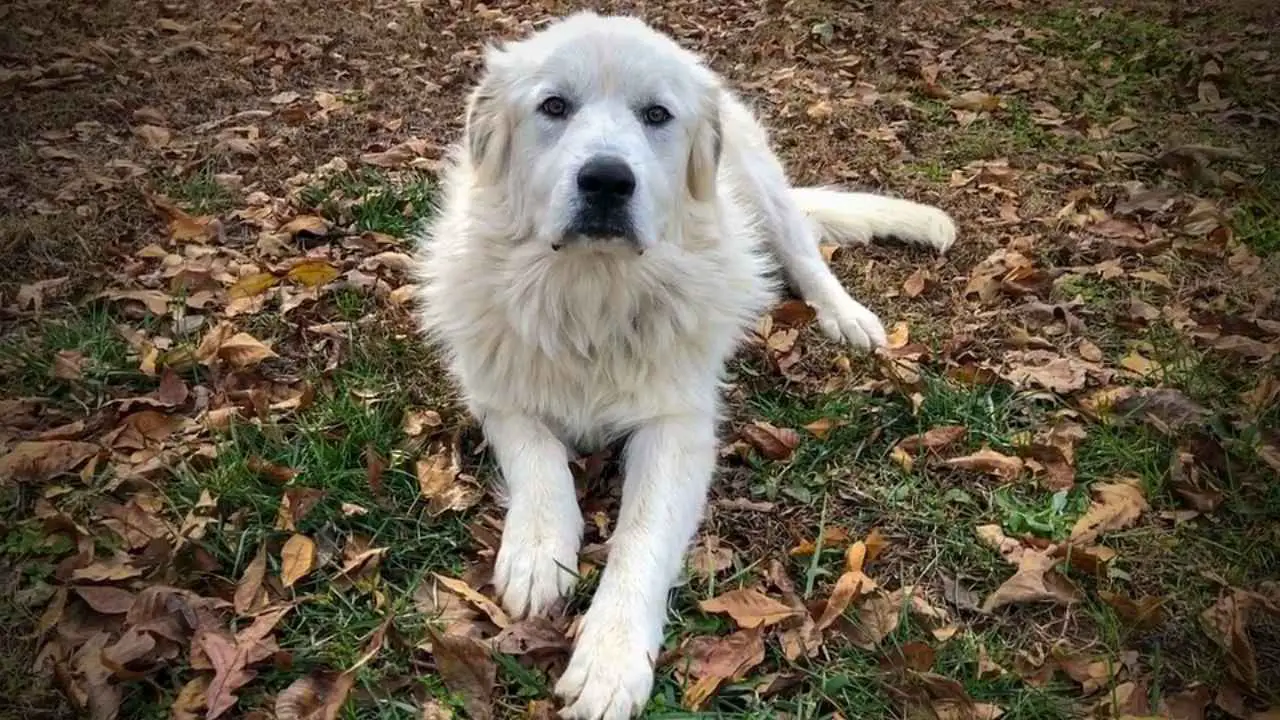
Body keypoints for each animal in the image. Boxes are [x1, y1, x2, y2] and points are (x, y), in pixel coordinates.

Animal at [414, 12, 957, 717]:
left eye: (656, 115)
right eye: (554, 106)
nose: (607, 180)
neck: (591, 292)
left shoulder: (676, 427)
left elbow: (641, 538)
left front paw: (610, 659)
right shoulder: (497, 391)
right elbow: (539, 463)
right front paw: (537, 550)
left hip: (764, 190)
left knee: (806, 257)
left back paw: (847, 317)